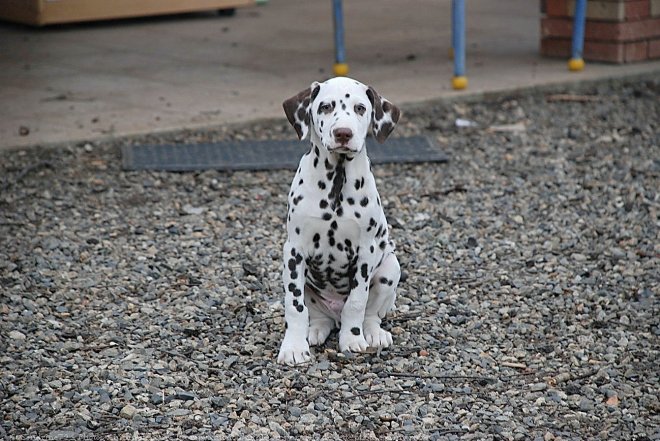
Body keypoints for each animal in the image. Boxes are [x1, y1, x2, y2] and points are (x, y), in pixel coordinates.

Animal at [276, 76, 400, 364]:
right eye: (325, 106)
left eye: (360, 108)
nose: (343, 133)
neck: (337, 180)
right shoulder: (294, 252)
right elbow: (294, 305)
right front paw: (293, 347)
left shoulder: (366, 252)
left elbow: (356, 301)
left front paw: (352, 339)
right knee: (318, 315)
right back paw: (315, 330)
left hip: (390, 269)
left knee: (370, 314)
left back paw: (373, 333)